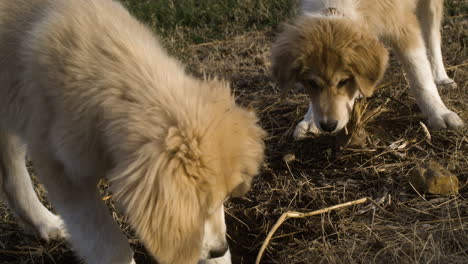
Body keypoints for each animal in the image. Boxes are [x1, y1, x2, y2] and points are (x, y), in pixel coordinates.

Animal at [270, 0, 464, 138]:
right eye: (311, 83)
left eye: (343, 81)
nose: (328, 126)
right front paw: (310, 120)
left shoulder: (403, 26)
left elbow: (420, 77)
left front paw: (439, 112)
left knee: (432, 33)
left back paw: (440, 77)